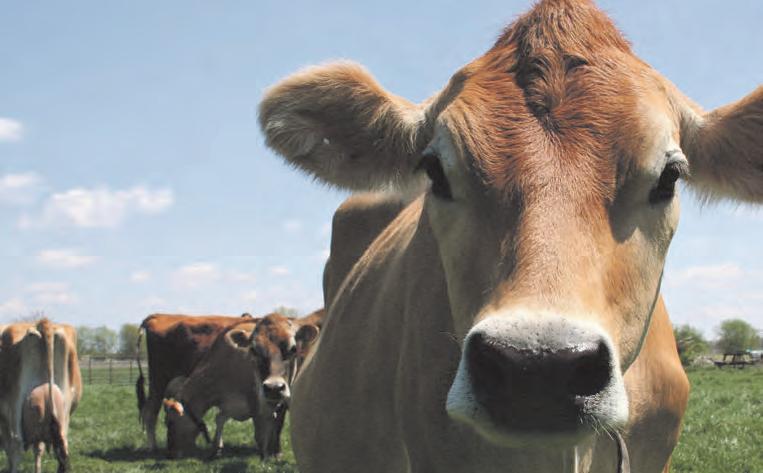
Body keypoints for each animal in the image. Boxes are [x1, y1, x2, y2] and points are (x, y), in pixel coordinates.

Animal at [0, 320, 82, 473]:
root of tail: (42, 323)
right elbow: (38, 448)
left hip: (14, 408)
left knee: (15, 445)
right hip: (64, 412)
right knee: (63, 447)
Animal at [162, 310, 323, 459]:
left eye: (170, 422)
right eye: (253, 350)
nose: (170, 453)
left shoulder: (261, 402)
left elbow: (264, 430)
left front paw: (267, 455)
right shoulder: (229, 402)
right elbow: (219, 418)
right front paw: (217, 448)